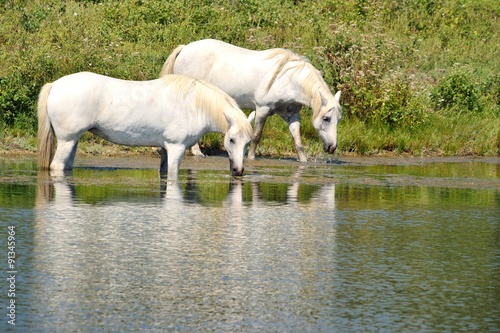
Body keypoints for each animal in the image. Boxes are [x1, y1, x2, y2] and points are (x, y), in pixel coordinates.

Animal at [37, 71, 252, 178]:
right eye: (231, 140)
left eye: (248, 143)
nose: (239, 171)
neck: (193, 104)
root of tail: (55, 85)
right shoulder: (176, 148)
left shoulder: (165, 149)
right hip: (67, 140)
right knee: (56, 166)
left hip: (73, 141)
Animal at [162, 38, 342, 161]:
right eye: (326, 118)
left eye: (338, 120)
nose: (332, 147)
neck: (288, 79)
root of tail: (185, 48)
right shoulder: (262, 109)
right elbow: (256, 135)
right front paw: (251, 157)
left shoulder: (292, 114)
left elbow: (297, 140)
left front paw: (303, 161)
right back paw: (197, 152)